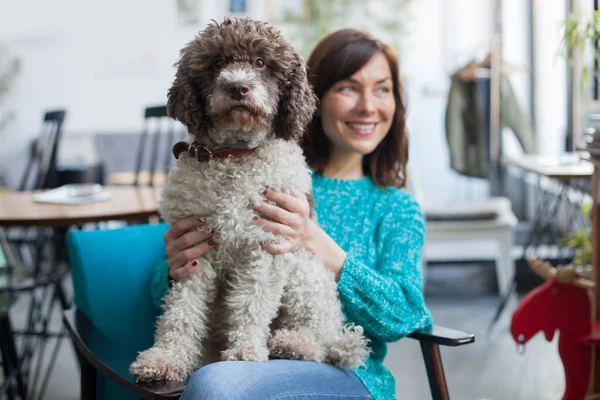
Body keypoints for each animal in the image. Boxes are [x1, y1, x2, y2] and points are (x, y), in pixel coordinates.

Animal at [129, 17, 368, 382]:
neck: (234, 155)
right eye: (217, 63)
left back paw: (295, 344)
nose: (238, 87)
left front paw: (244, 351)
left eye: (260, 63)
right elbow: (181, 311)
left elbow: (251, 303)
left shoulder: (265, 245)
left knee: (320, 338)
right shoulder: (194, 249)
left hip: (306, 272)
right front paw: (166, 358)